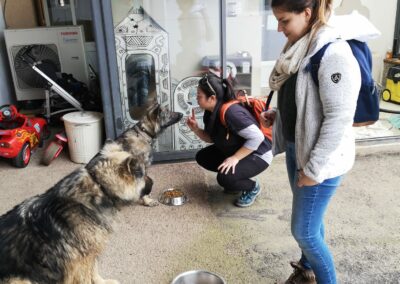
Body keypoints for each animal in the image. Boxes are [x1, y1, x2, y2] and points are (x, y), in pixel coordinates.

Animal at [0, 103, 183, 282]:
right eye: (169, 112)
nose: (182, 114)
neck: (99, 186)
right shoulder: (80, 259)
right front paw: (148, 200)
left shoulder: (90, 252)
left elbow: (94, 270)